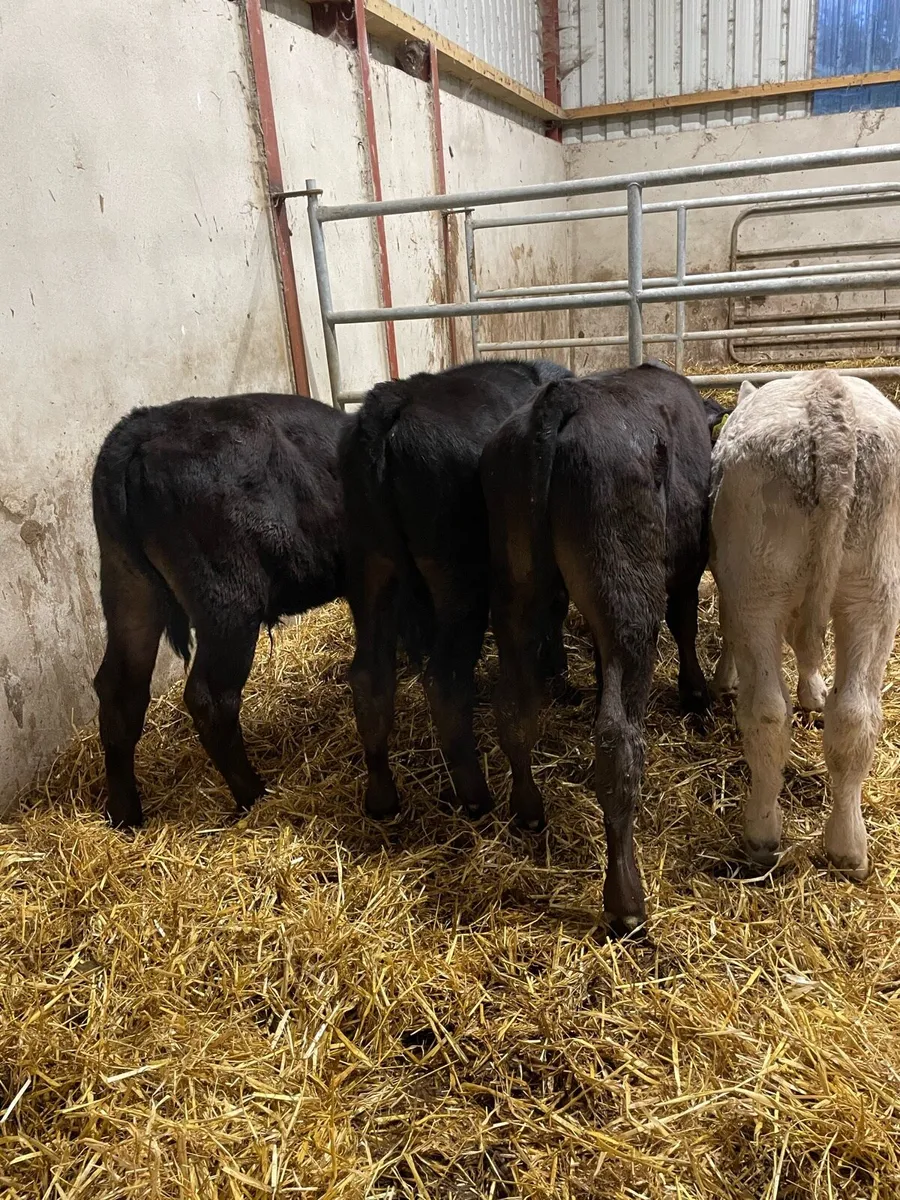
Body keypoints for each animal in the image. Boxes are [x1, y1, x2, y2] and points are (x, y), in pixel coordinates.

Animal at [92, 392, 350, 829]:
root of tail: (140, 427)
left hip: (129, 590)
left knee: (119, 691)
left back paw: (125, 816)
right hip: (227, 602)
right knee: (211, 697)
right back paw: (253, 795)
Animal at [339, 359, 574, 823]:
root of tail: (393, 401)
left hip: (371, 571)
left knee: (370, 679)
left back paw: (382, 798)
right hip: (460, 583)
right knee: (445, 682)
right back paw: (476, 797)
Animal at [480, 364, 725, 935]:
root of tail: (563, 397)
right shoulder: (688, 561)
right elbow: (685, 621)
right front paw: (695, 695)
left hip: (516, 594)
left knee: (513, 708)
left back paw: (528, 810)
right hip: (628, 595)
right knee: (617, 740)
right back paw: (626, 901)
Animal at [710, 370, 900, 880]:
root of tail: (827, 399)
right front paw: (812, 689)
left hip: (766, 588)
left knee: (778, 713)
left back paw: (771, 836)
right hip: (870, 590)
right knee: (844, 715)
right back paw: (841, 846)